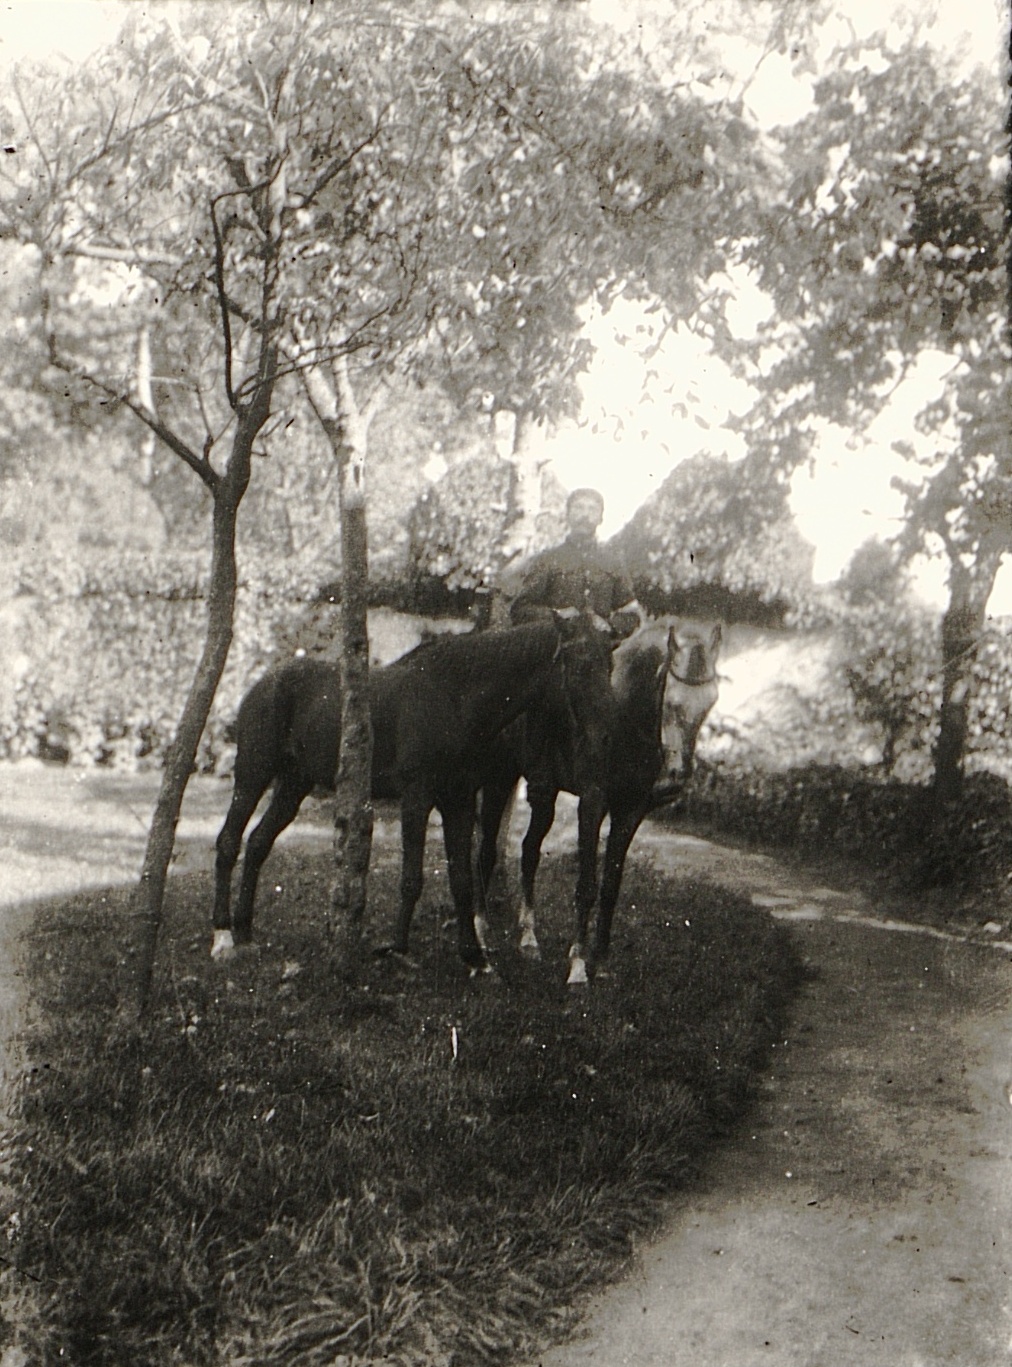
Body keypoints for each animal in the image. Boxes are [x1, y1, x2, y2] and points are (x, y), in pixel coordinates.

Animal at [210, 615, 615, 971]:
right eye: (581, 663)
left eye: (609, 662)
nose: (605, 733)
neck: (454, 698)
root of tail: (264, 683)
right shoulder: (417, 798)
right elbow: (411, 878)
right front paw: (398, 948)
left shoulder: (459, 800)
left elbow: (462, 880)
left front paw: (474, 956)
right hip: (252, 777)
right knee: (229, 840)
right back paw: (222, 935)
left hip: (294, 785)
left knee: (258, 843)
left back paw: (244, 930)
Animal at [474, 618, 721, 985]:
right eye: (673, 703)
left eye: (710, 704)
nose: (677, 775)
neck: (622, 718)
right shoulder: (591, 804)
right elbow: (587, 886)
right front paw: (578, 965)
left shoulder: (630, 812)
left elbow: (610, 888)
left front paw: (601, 962)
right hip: (497, 781)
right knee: (487, 851)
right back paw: (479, 929)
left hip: (544, 796)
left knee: (529, 850)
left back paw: (529, 938)